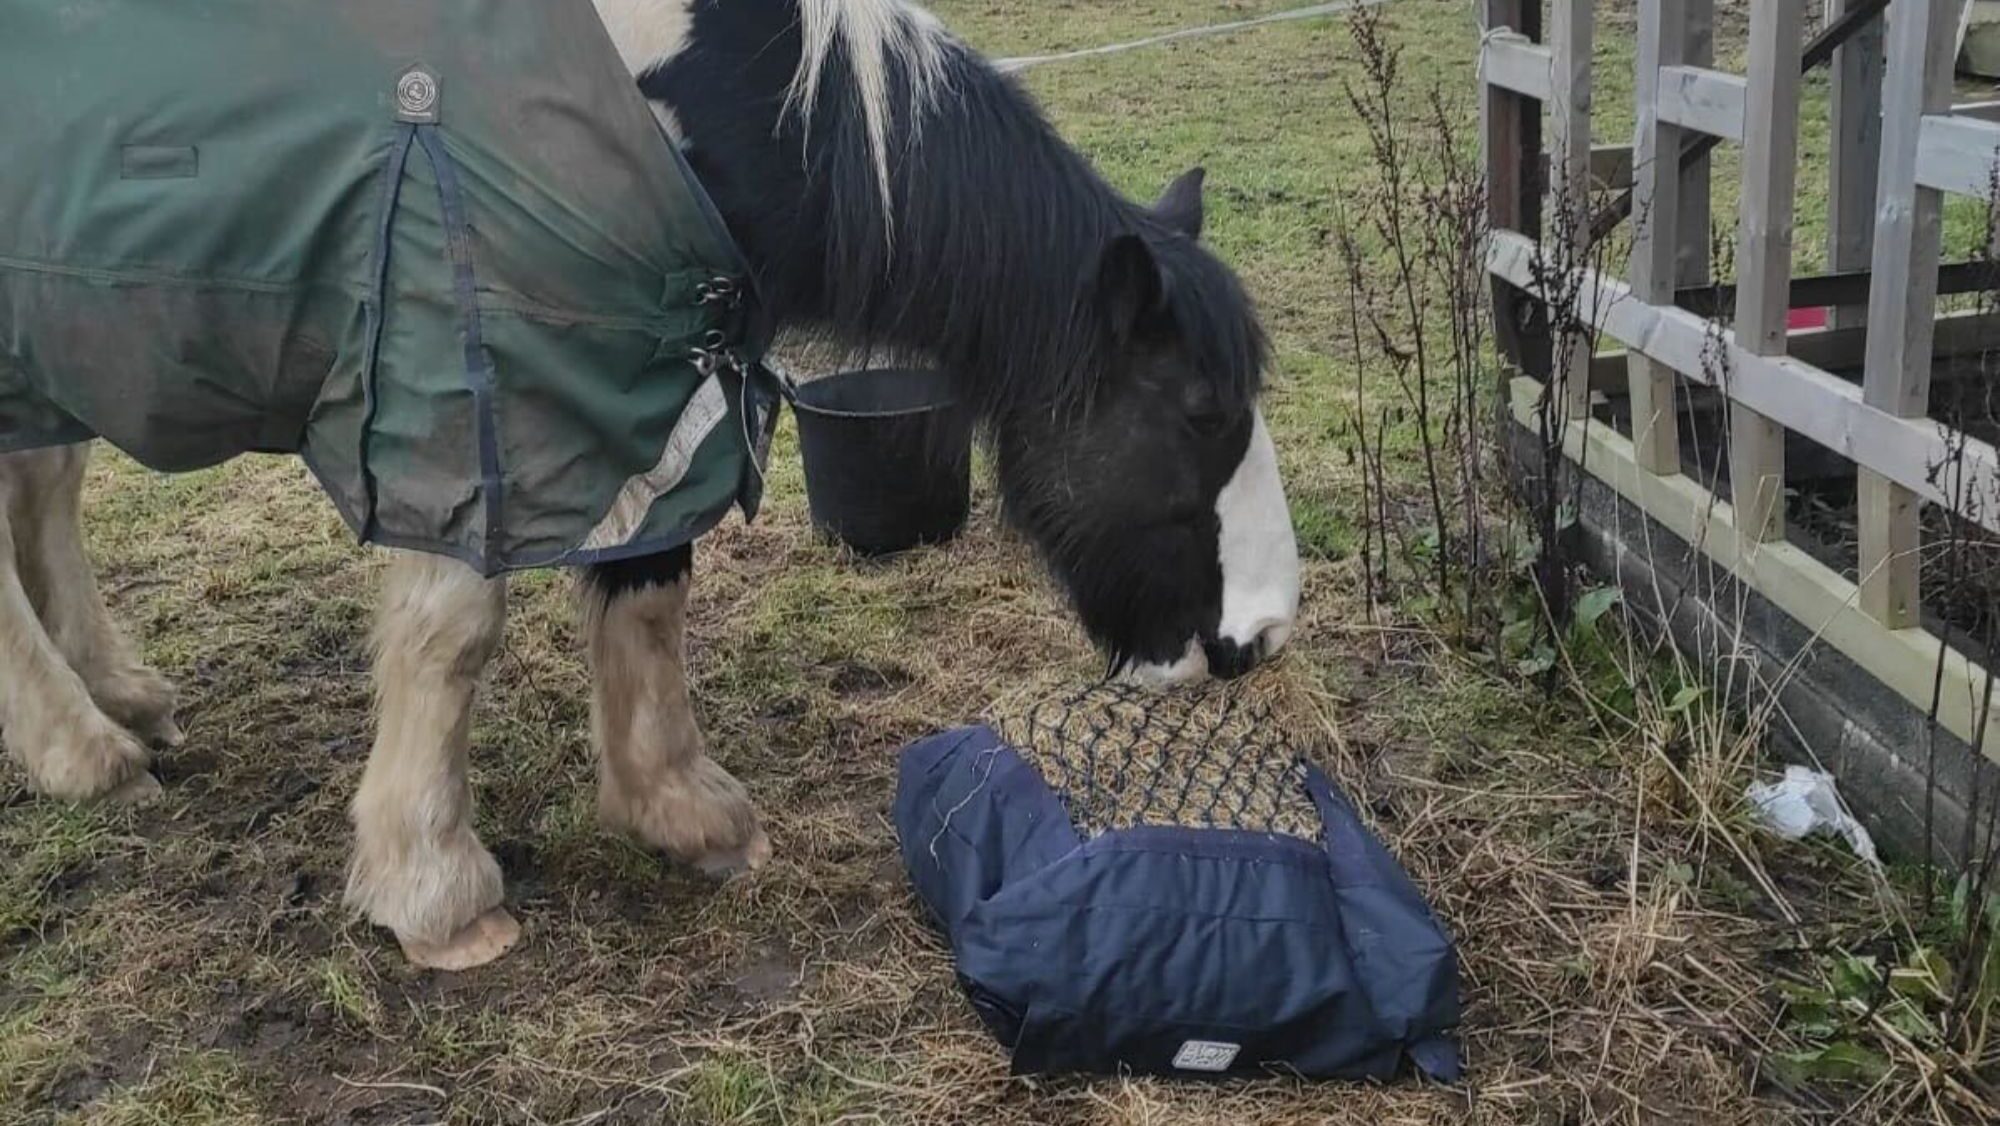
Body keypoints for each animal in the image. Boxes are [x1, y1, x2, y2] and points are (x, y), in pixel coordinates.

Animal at [0, 0, 1300, 970]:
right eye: (1197, 412)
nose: (1259, 638)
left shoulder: (648, 377)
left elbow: (649, 591)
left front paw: (677, 811)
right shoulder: (467, 399)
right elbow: (455, 631)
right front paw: (434, 891)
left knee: (43, 496)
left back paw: (121, 698)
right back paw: (82, 751)